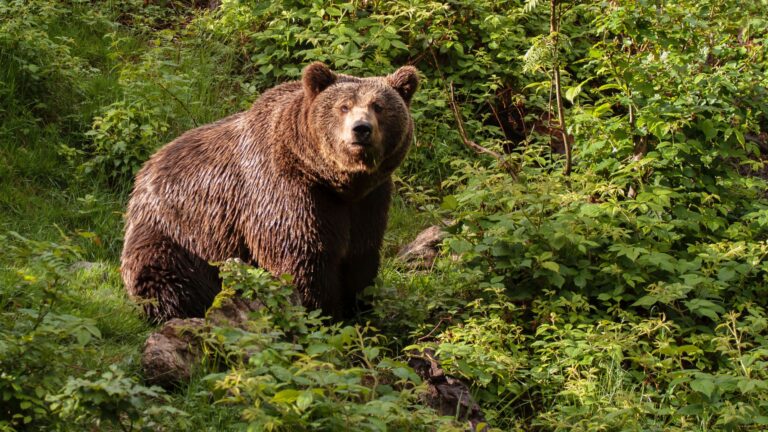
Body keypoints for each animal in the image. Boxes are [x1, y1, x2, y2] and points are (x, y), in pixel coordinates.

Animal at [120, 62, 419, 323]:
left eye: (378, 106)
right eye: (343, 106)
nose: (361, 129)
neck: (335, 181)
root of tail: (145, 169)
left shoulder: (369, 200)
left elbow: (361, 255)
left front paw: (360, 310)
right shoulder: (286, 190)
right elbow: (302, 256)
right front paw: (321, 313)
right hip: (177, 233)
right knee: (164, 276)